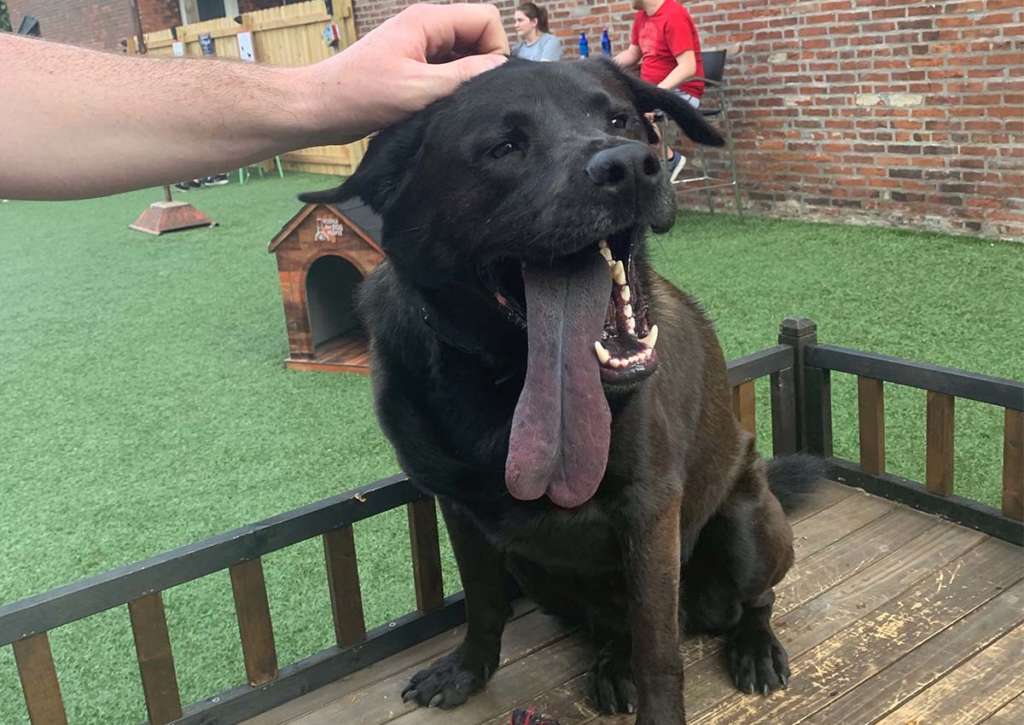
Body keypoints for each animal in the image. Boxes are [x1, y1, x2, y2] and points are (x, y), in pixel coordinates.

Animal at [301, 58, 815, 724]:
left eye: (620, 120)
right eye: (504, 148)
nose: (630, 166)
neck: (507, 381)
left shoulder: (649, 510)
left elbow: (659, 653)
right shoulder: (459, 508)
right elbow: (483, 603)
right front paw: (467, 670)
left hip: (747, 530)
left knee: (752, 599)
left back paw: (753, 645)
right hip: (537, 567)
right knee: (609, 622)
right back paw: (612, 665)